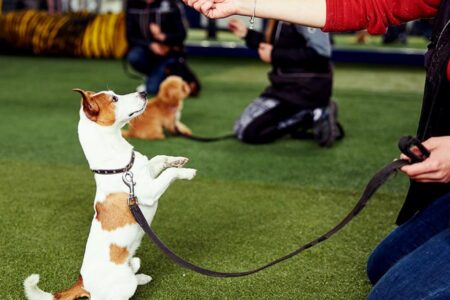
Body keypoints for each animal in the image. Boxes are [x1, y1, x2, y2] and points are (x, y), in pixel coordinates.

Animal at [22, 89, 195, 300]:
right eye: (114, 99)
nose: (144, 92)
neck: (119, 166)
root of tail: (82, 284)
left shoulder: (147, 172)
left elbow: (159, 159)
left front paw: (178, 160)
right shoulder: (149, 192)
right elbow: (169, 173)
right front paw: (187, 172)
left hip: (133, 261)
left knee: (135, 267)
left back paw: (143, 277)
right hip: (124, 284)